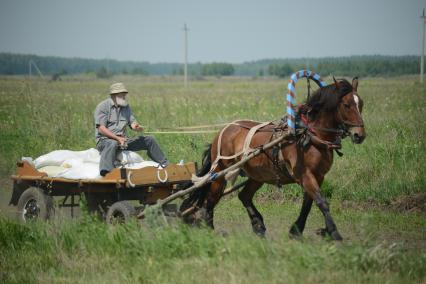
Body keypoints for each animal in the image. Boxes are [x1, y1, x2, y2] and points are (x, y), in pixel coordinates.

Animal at [181, 77, 364, 240]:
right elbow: (321, 202)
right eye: (346, 105)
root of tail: (223, 131)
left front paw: (297, 230)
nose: (359, 135)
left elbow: (309, 203)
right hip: (220, 172)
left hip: (258, 174)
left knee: (244, 196)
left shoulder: (318, 176)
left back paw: (258, 225)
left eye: (361, 103)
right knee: (212, 199)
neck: (310, 136)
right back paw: (209, 228)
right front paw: (334, 232)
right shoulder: (305, 175)